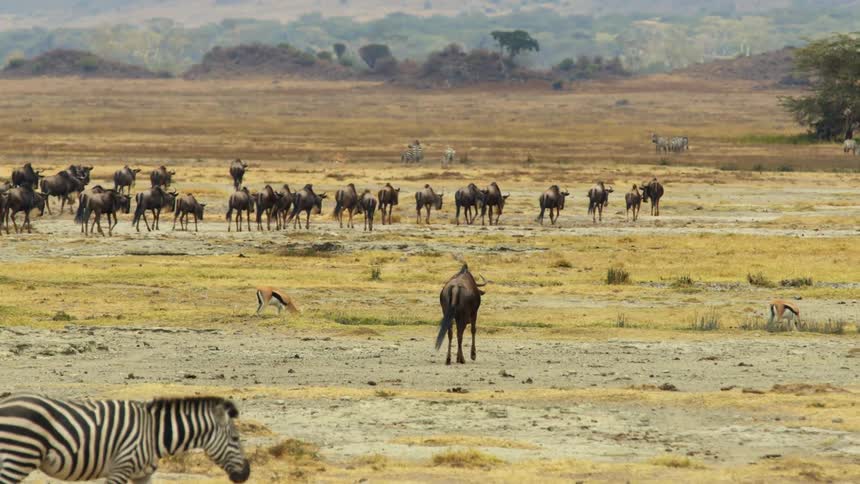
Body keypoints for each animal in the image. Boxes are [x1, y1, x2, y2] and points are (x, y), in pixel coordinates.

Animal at [0, 394, 250, 483]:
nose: (246, 475)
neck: (153, 434)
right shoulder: (120, 469)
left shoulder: (143, 475)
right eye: (235, 438)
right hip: (18, 457)